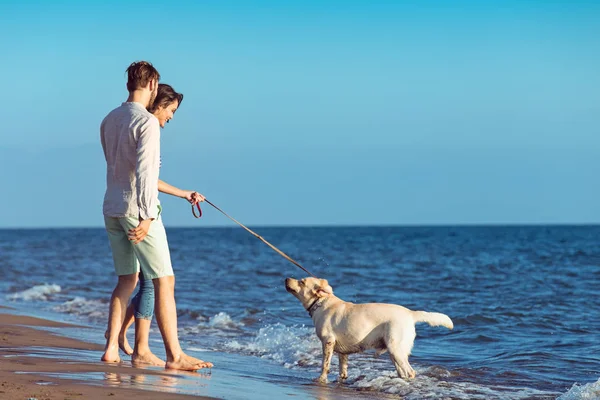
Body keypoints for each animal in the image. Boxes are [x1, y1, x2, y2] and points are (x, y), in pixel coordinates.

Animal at [284, 276, 452, 382]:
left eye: (302, 282)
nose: (286, 278)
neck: (321, 302)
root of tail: (411, 313)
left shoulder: (328, 342)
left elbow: (325, 365)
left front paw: (321, 379)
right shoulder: (342, 351)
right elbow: (342, 369)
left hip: (395, 348)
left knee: (410, 372)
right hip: (395, 352)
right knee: (403, 371)